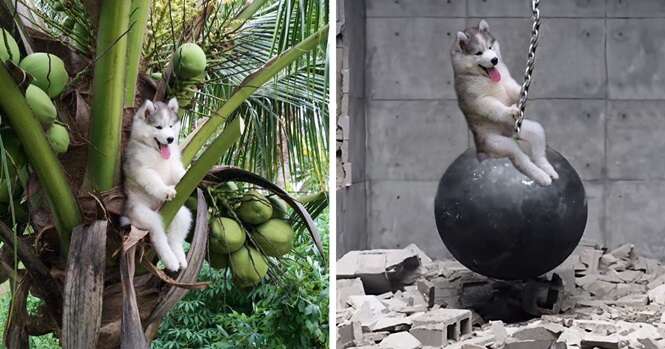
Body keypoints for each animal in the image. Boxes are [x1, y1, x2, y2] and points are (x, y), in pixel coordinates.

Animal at [123, 98, 191, 272]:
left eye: (171, 126)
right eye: (158, 127)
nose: (170, 139)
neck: (156, 152)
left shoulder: (173, 165)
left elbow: (178, 174)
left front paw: (187, 175)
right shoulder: (143, 170)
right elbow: (154, 181)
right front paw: (166, 190)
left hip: (181, 213)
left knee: (175, 238)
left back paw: (180, 258)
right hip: (144, 215)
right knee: (158, 236)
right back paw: (171, 261)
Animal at [448, 20, 556, 186]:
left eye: (490, 47)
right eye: (478, 53)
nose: (494, 60)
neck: (485, 78)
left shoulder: (507, 82)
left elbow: (514, 90)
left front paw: (523, 93)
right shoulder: (478, 99)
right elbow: (493, 106)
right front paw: (509, 111)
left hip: (528, 130)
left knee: (538, 149)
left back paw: (548, 170)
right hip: (498, 143)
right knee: (521, 159)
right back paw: (541, 176)